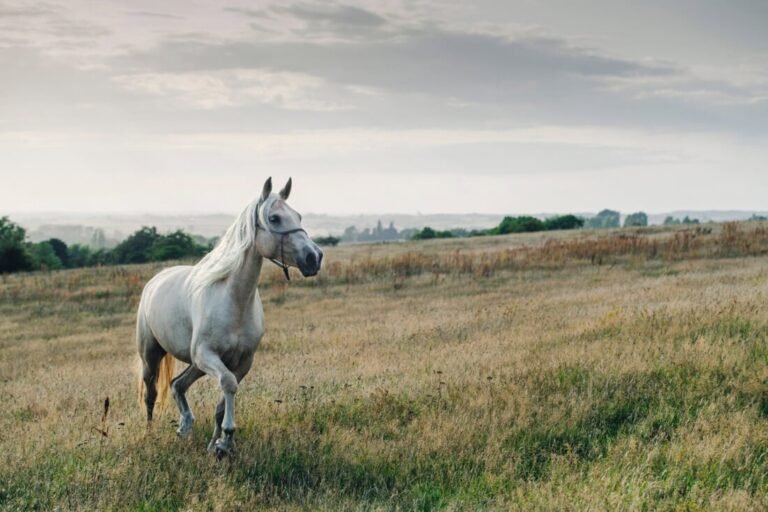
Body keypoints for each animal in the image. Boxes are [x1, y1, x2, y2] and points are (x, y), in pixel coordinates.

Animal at [136, 177, 323, 456]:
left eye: (298, 216)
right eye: (275, 218)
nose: (314, 257)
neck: (233, 300)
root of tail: (155, 280)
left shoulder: (241, 362)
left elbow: (221, 404)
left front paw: (217, 446)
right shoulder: (208, 356)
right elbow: (228, 384)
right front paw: (226, 438)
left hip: (196, 364)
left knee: (178, 384)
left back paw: (185, 426)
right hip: (153, 355)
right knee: (151, 393)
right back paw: (150, 435)